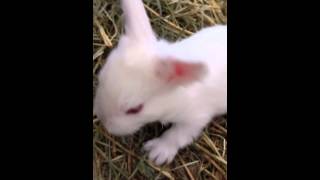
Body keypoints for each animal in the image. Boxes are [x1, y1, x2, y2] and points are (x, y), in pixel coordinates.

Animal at [94, 0, 226, 166]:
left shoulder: (196, 118)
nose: (105, 124)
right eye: (100, 79)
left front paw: (157, 153)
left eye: (135, 109)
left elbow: (177, 135)